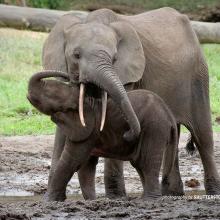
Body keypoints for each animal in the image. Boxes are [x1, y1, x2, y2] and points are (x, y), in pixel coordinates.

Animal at [27, 70, 179, 201]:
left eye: (49, 94)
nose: (71, 76)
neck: (85, 101)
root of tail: (170, 116)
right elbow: (86, 165)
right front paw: (92, 201)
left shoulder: (87, 130)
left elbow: (72, 160)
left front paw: (48, 201)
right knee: (140, 164)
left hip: (155, 128)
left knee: (147, 163)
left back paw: (149, 200)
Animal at [42, 8, 220, 198]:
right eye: (76, 55)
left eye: (114, 58)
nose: (130, 134)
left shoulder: (127, 78)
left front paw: (116, 197)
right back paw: (172, 193)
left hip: (198, 77)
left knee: (203, 137)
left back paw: (211, 192)